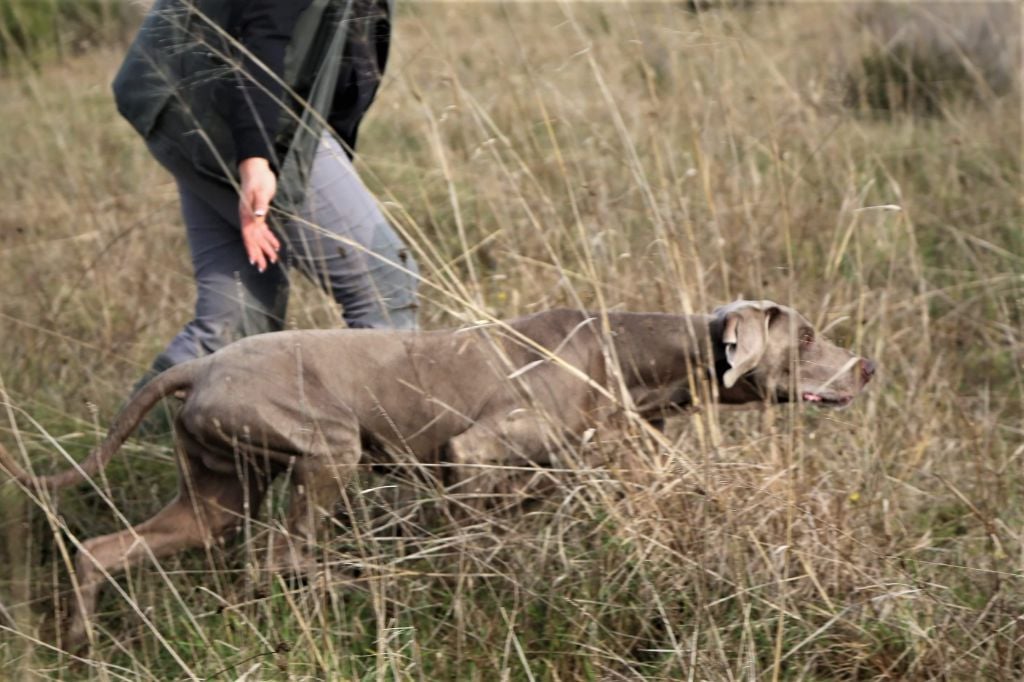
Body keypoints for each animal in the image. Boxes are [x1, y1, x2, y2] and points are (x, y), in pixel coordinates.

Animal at [0, 300, 875, 646]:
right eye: (807, 336)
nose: (868, 366)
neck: (624, 352)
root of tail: (200, 366)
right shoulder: (470, 453)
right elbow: (472, 538)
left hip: (219, 489)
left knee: (105, 549)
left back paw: (79, 643)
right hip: (329, 449)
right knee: (283, 556)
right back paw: (352, 590)